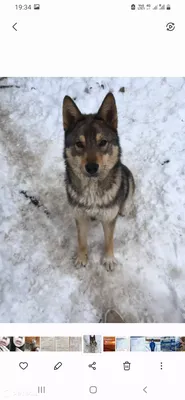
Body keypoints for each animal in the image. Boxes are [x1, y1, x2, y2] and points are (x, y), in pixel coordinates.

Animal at [62, 92, 134, 270]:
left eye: (102, 142)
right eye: (79, 144)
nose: (92, 167)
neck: (92, 192)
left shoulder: (108, 219)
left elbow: (108, 240)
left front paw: (108, 259)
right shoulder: (80, 216)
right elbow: (81, 240)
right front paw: (82, 258)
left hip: (127, 176)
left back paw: (125, 208)